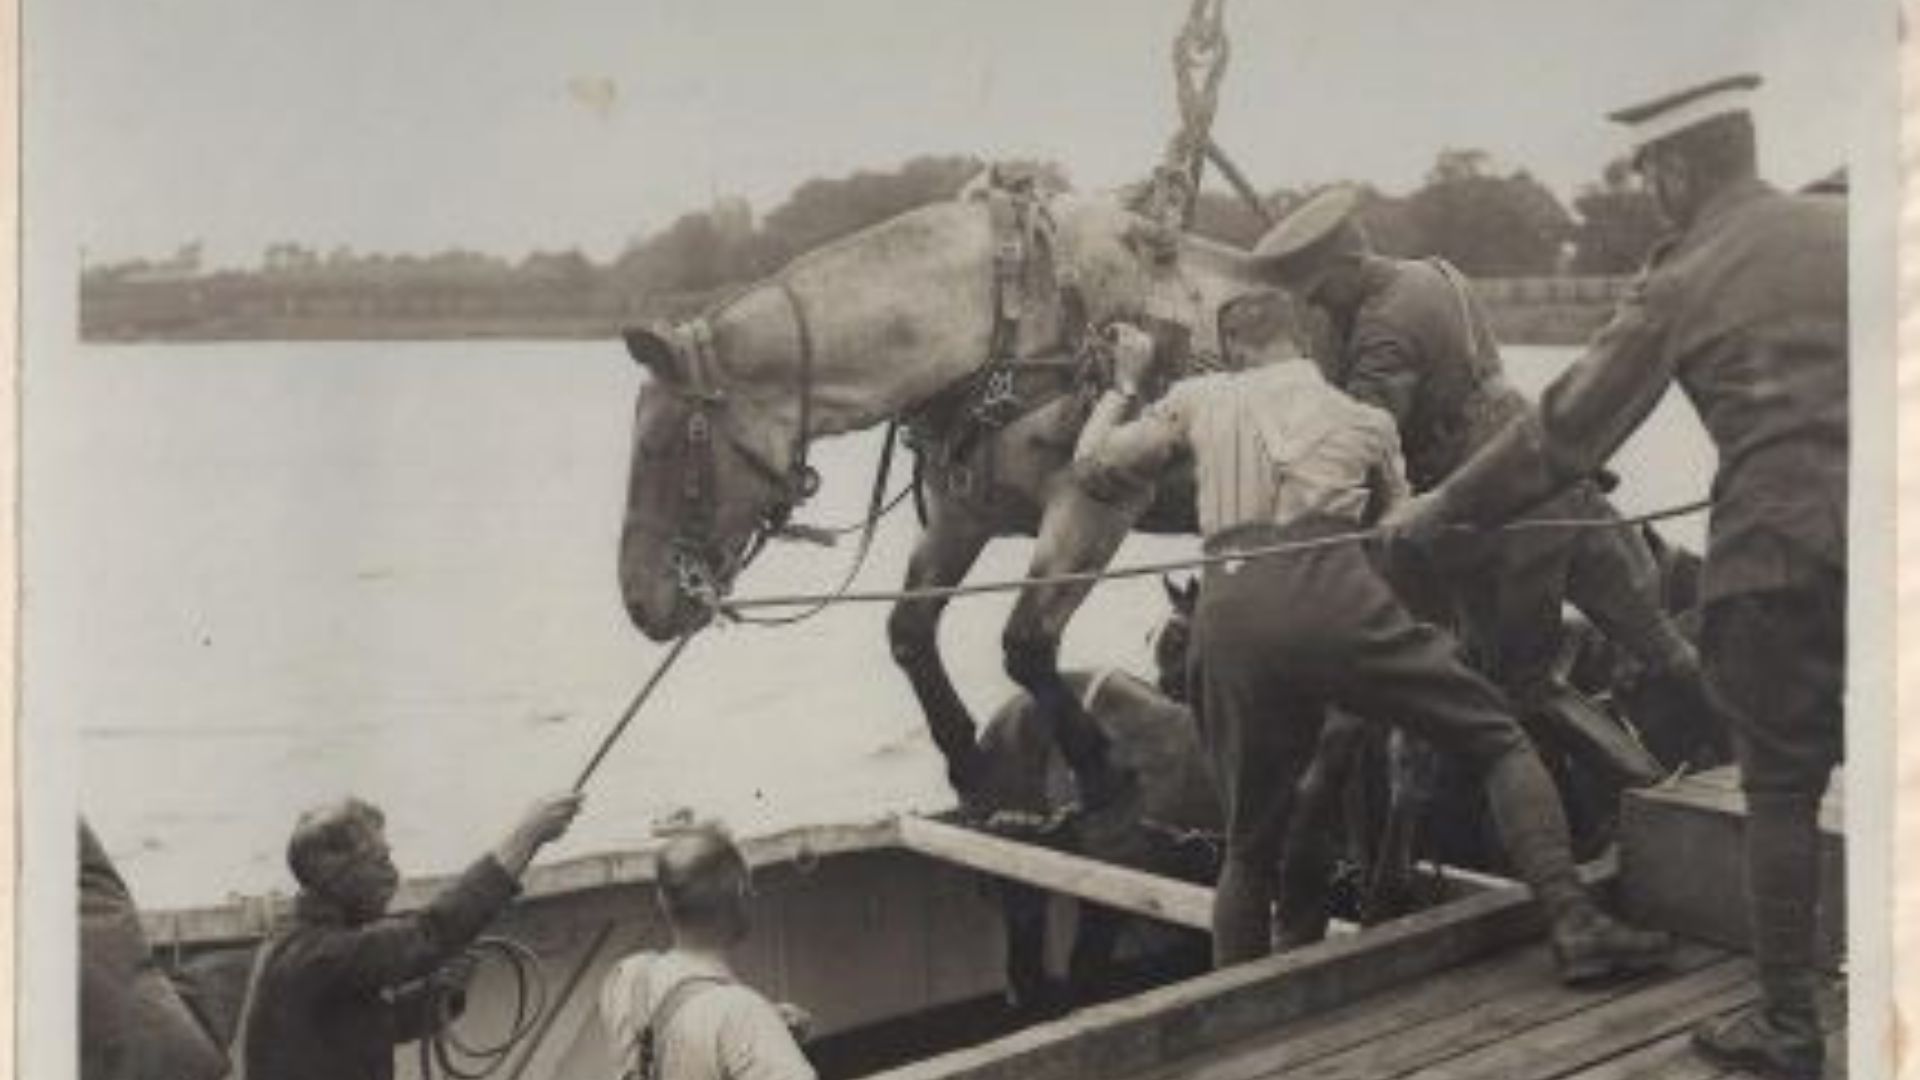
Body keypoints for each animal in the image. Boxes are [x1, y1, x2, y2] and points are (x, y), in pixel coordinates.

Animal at [614, 182, 1274, 822]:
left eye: (663, 445)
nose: (640, 603)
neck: (1007, 327)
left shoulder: (1098, 502)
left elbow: (1025, 644)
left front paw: (1097, 769)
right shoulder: (961, 517)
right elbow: (909, 630)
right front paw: (970, 766)